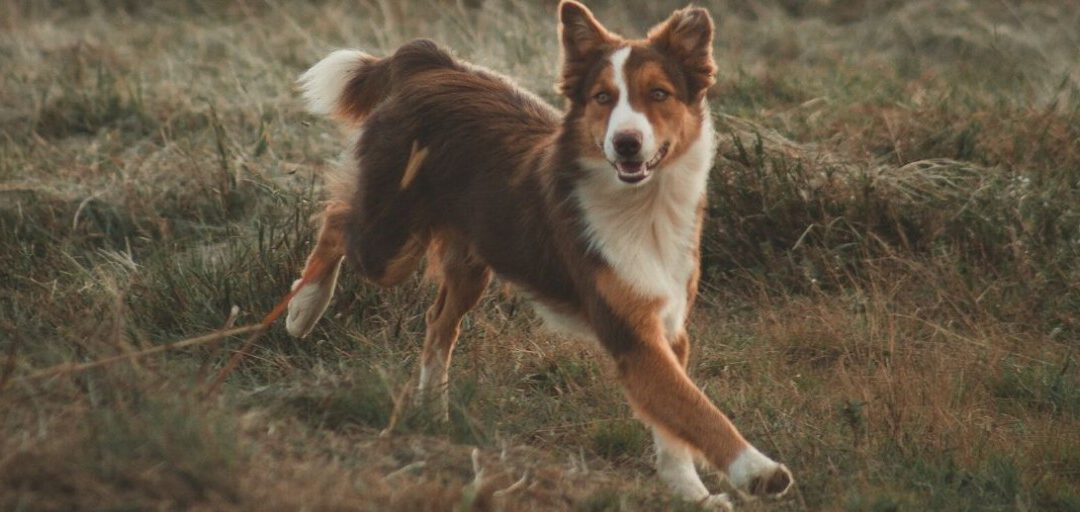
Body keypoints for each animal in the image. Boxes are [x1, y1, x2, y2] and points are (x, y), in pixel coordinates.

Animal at [287, 0, 794, 507]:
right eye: (602, 98)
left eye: (659, 94)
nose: (625, 143)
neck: (643, 206)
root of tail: (430, 64)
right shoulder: (632, 334)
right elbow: (697, 410)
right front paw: (757, 470)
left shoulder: (667, 328)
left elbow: (675, 426)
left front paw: (690, 492)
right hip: (389, 243)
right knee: (336, 220)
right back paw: (304, 308)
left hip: (472, 261)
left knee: (438, 323)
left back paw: (431, 409)